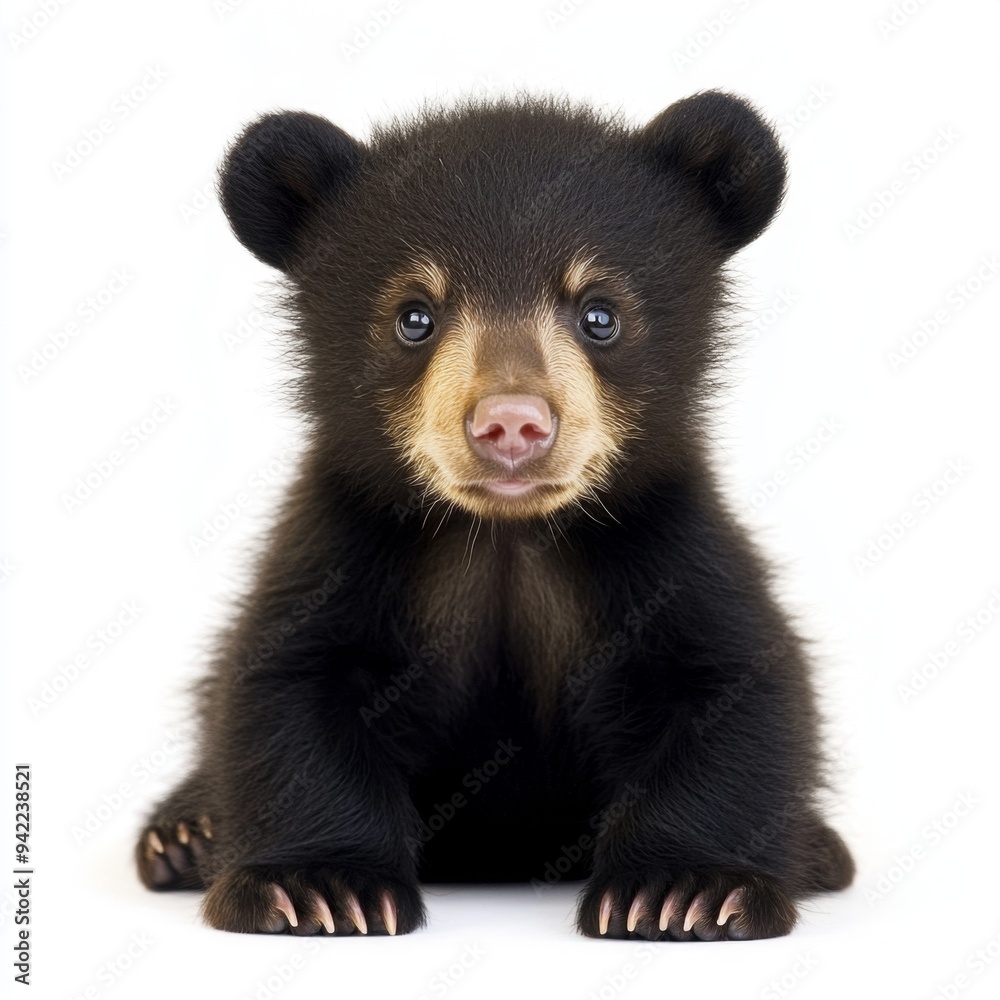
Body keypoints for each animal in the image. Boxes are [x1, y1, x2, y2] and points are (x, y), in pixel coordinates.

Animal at [136, 90, 854, 940]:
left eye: (600, 314)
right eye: (414, 317)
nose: (511, 422)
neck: (506, 540)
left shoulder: (666, 542)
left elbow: (736, 684)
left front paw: (687, 893)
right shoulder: (345, 543)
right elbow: (287, 685)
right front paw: (317, 888)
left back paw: (819, 850)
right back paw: (183, 834)